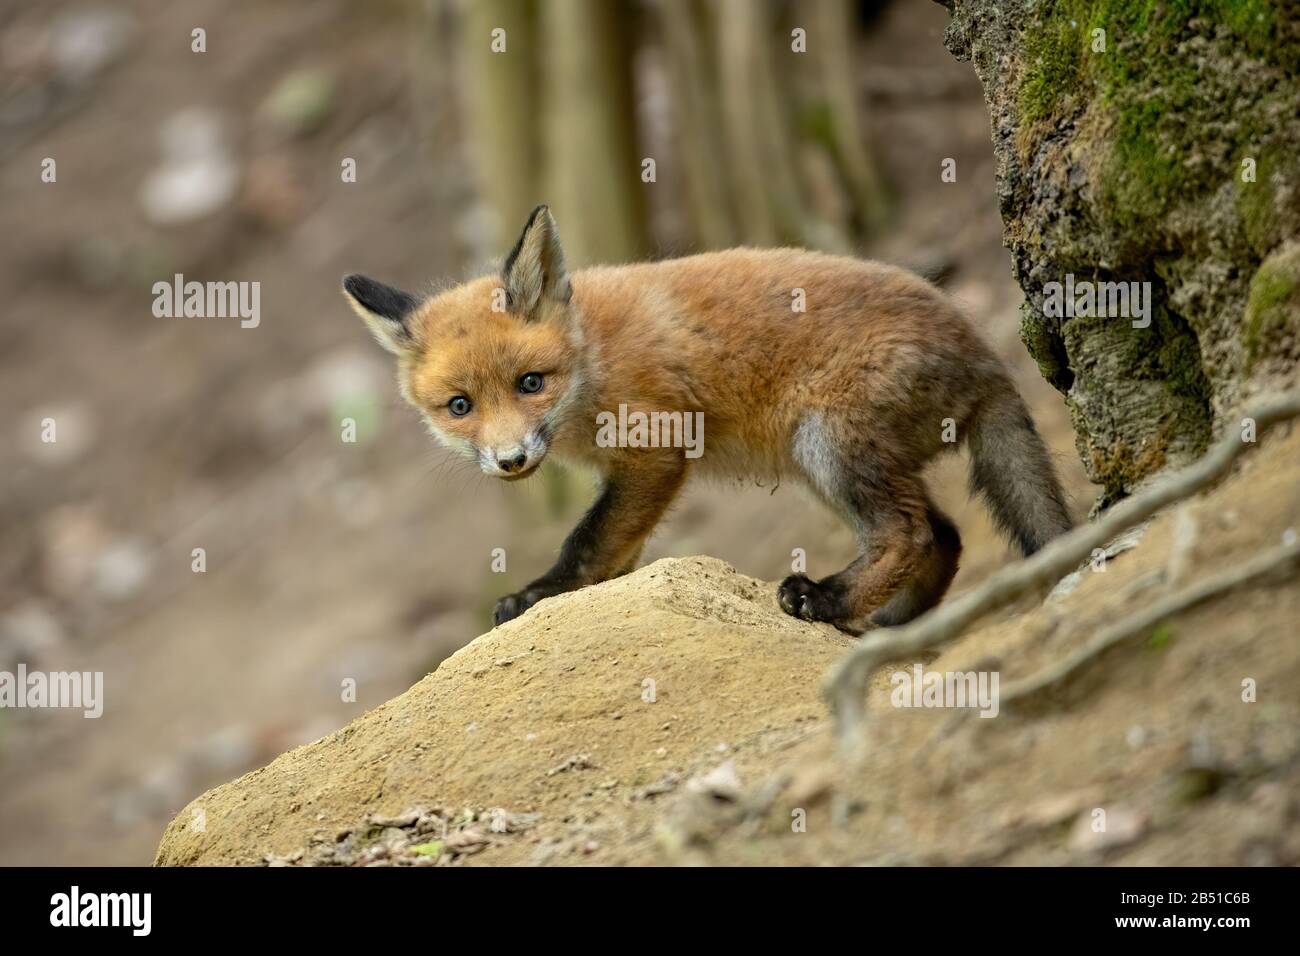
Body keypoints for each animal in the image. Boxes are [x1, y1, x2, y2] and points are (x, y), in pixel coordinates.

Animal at [343, 205, 1072, 633]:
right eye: (460, 406)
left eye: (530, 383)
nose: (511, 461)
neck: (592, 358)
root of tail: (983, 350)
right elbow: (616, 552)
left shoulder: (655, 452)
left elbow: (587, 540)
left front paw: (541, 593)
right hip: (825, 469)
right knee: (944, 535)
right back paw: (884, 624)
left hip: (828, 446)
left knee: (909, 533)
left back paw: (826, 602)